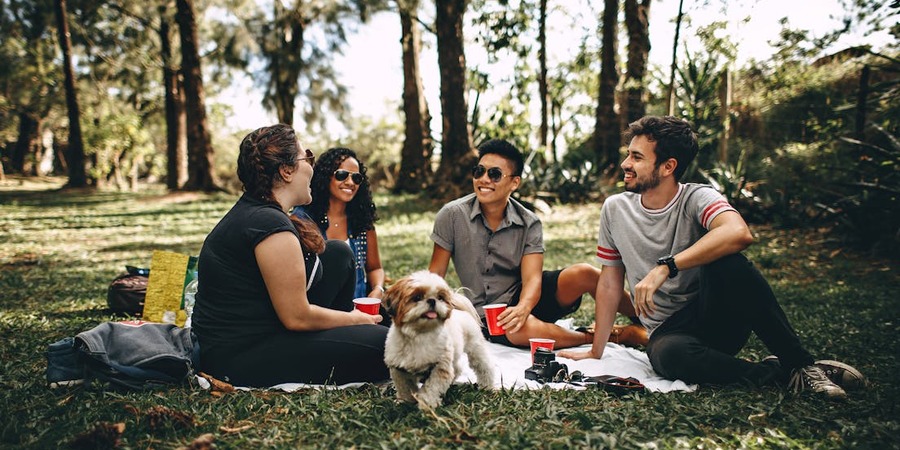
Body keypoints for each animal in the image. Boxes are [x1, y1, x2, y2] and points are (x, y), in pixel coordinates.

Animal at [382, 270, 496, 412]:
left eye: (440, 297)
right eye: (417, 297)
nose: (432, 300)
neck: (419, 335)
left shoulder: (440, 367)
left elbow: (432, 387)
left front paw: (427, 404)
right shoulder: (399, 369)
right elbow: (405, 387)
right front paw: (405, 402)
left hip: (475, 348)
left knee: (484, 367)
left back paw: (487, 386)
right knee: (457, 368)